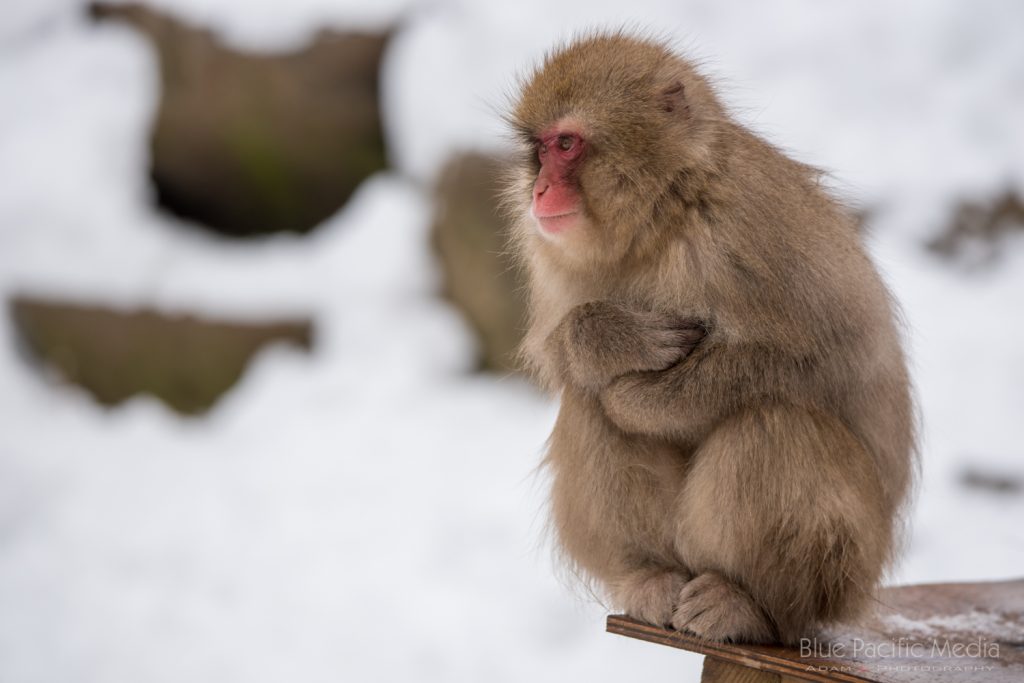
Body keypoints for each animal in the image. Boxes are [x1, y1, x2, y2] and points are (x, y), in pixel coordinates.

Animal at [507, 34, 917, 643]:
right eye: (539, 149)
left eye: (566, 144)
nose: (539, 189)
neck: (662, 217)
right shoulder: (553, 252)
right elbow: (557, 354)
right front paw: (605, 338)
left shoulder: (748, 222)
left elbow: (830, 358)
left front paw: (643, 399)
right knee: (587, 402)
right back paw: (651, 575)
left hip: (845, 573)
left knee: (773, 421)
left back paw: (751, 605)